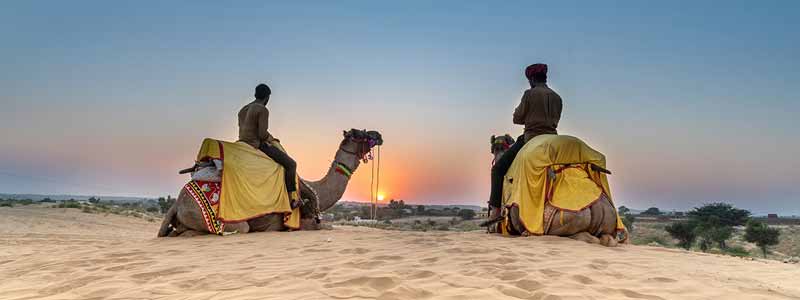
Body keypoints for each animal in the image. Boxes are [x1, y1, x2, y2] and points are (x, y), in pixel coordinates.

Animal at [158, 129, 382, 237]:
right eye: (359, 134)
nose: (378, 135)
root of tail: (178, 203)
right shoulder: (303, 223)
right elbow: (327, 226)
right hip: (224, 221)